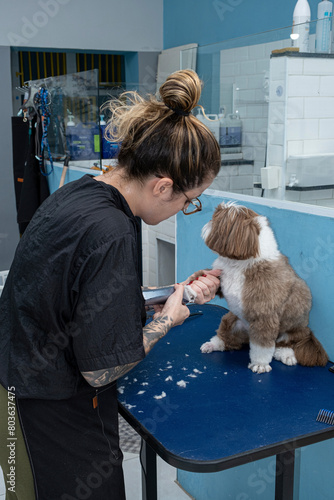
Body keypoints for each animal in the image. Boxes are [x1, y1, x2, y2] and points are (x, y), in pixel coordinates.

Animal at [200, 201, 328, 374]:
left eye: (216, 219)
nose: (207, 223)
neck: (238, 264)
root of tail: (308, 333)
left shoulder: (265, 318)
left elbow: (262, 347)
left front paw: (260, 364)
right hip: (232, 321)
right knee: (227, 338)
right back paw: (213, 344)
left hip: (289, 333)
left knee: (282, 346)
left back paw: (286, 355)